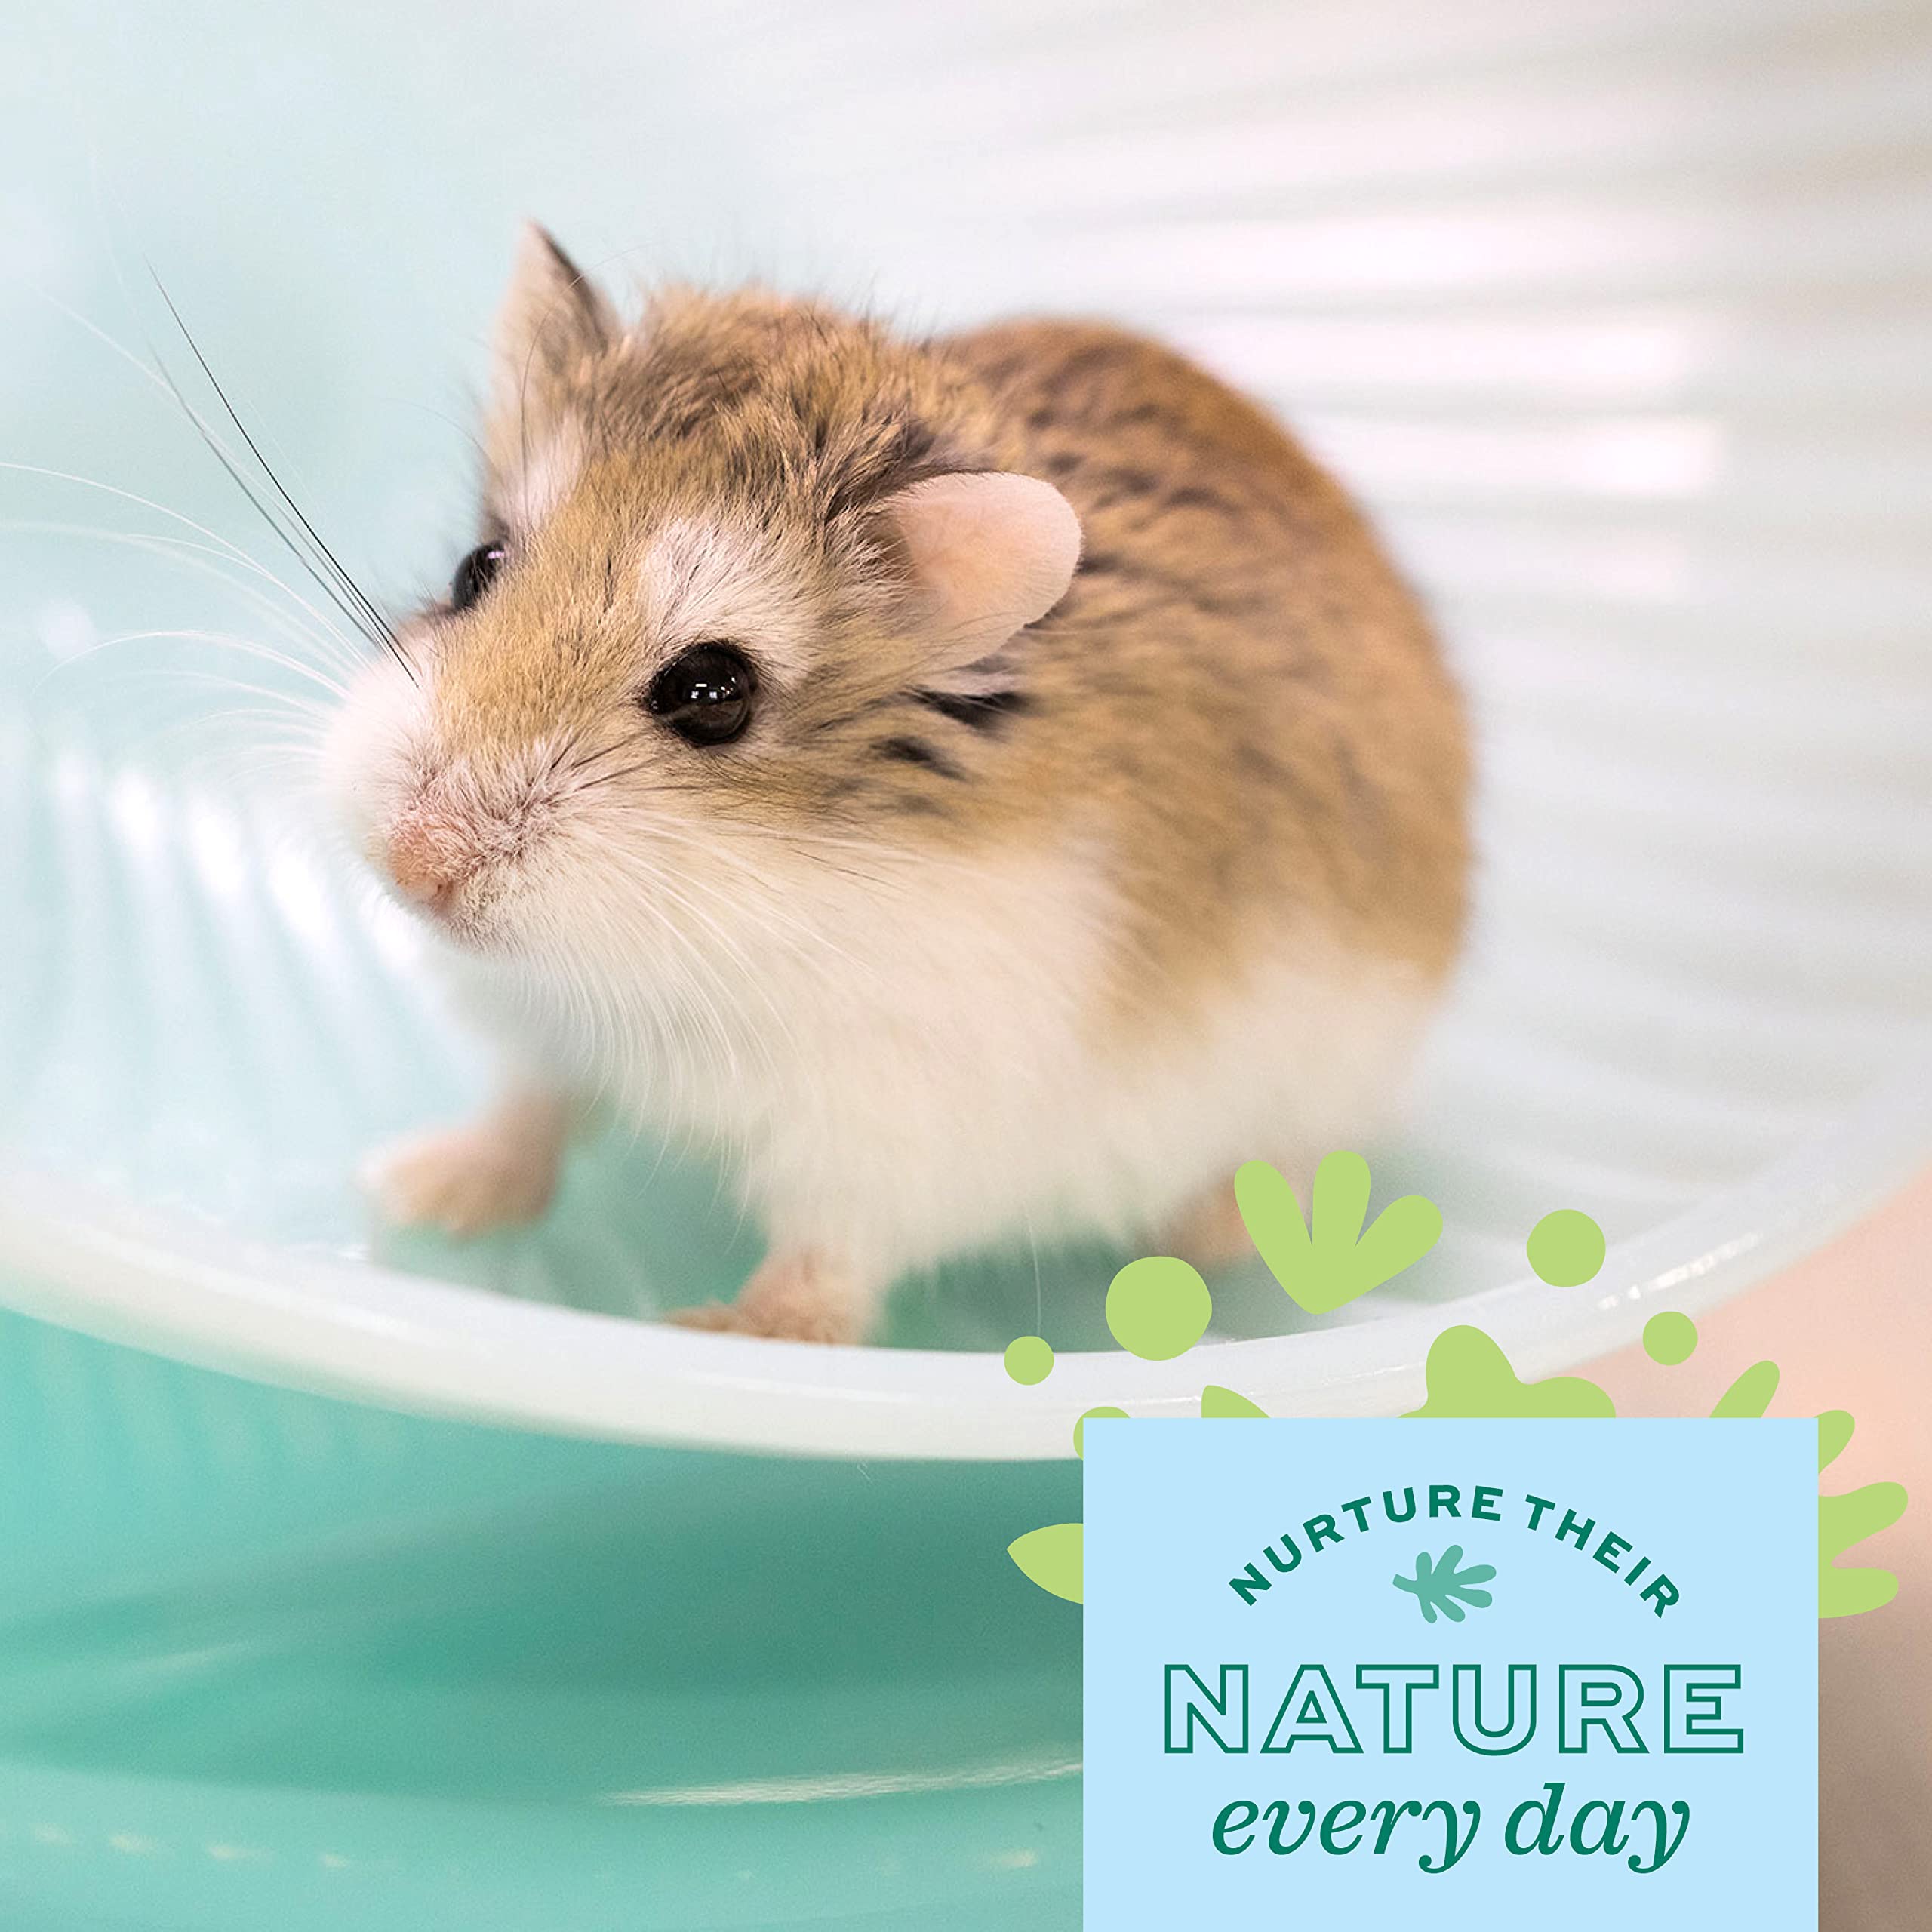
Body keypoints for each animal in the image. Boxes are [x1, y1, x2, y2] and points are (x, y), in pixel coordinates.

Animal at [325, 225, 1470, 1344]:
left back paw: (1216, 1237)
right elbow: (529, 1112)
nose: (415, 865)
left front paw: (725, 1333)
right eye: (475, 567)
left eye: (713, 693)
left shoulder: (887, 1138)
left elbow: (825, 1267)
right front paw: (414, 1188)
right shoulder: (544, 1033)